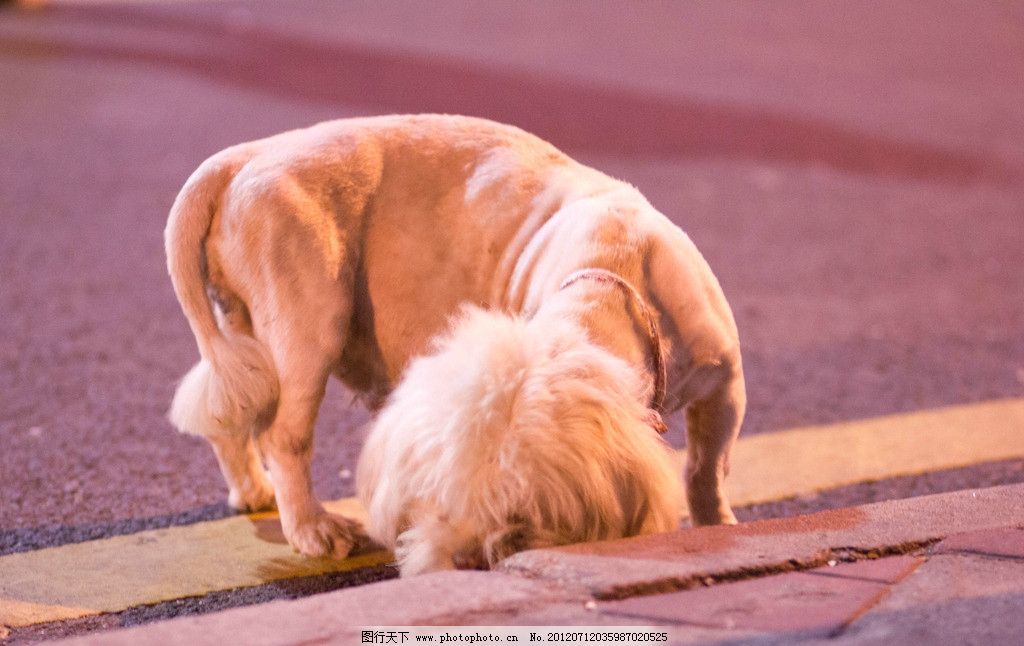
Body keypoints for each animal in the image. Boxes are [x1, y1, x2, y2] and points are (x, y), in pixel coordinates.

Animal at [165, 116, 745, 565]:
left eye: (521, 500)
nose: (466, 556)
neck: (606, 286)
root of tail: (247, 155)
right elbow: (703, 468)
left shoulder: (724, 386)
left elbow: (706, 469)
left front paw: (717, 522)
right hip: (306, 317)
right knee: (283, 434)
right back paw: (312, 528)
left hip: (247, 330)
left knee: (235, 404)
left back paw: (251, 491)